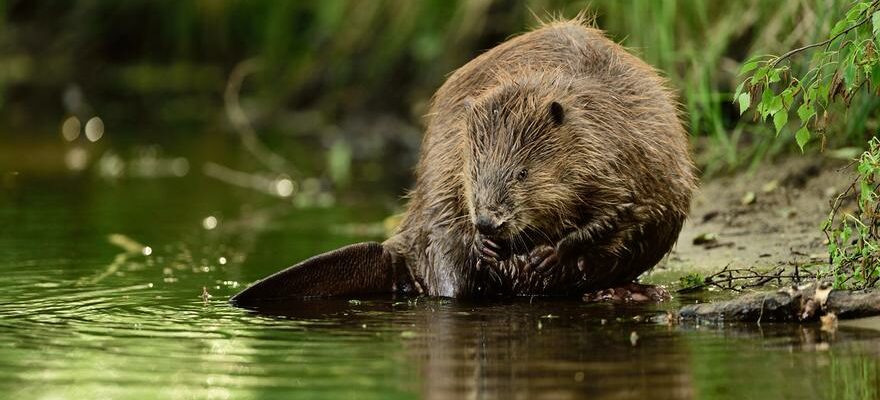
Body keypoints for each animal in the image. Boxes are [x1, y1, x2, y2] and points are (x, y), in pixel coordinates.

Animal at [230, 14, 696, 304]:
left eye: (522, 172)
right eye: (475, 173)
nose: (488, 222)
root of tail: (395, 249)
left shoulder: (622, 148)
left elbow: (623, 210)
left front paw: (549, 255)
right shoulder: (454, 156)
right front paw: (488, 246)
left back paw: (629, 291)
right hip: (430, 223)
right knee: (447, 270)